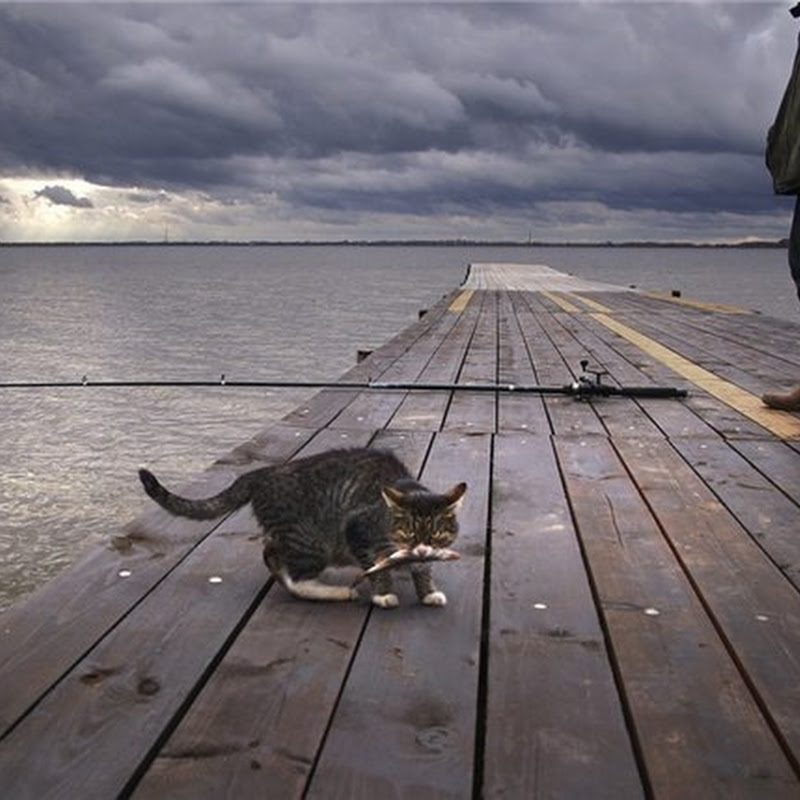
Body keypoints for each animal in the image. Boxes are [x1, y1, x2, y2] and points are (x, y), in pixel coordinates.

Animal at [140, 446, 466, 608]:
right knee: (295, 577)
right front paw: (383, 593)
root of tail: (263, 473)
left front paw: (427, 591)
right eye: (406, 532)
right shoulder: (357, 530)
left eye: (437, 534)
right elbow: (376, 568)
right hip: (312, 542)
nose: (421, 550)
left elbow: (423, 570)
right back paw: (336, 592)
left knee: (271, 554)